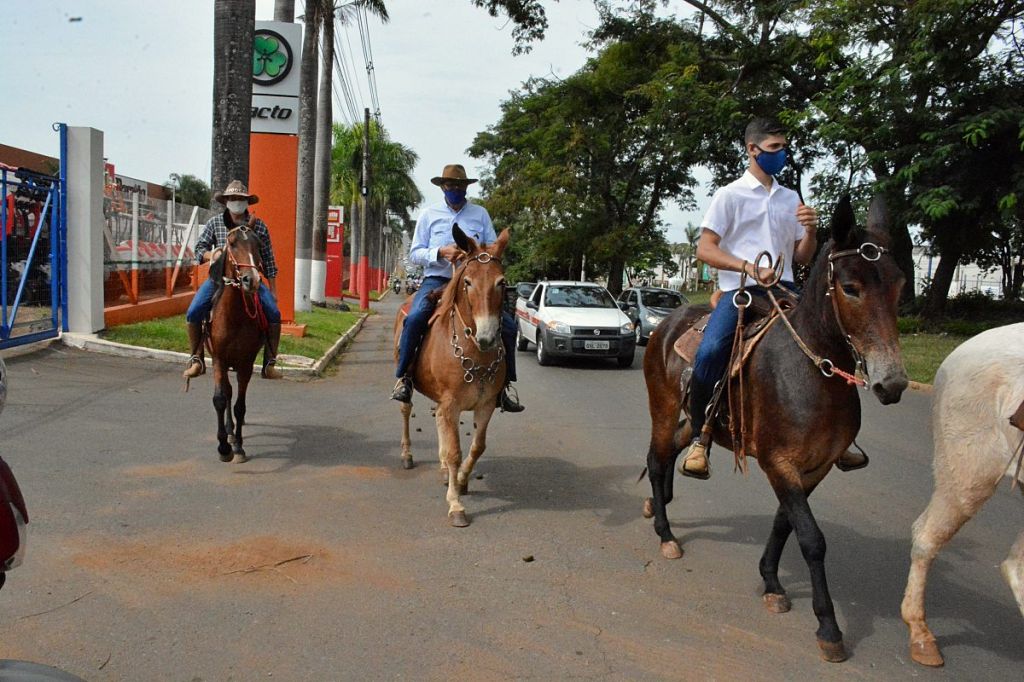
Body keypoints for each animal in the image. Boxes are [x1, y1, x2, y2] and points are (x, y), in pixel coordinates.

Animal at [204, 225, 264, 464]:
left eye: (258, 245)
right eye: (232, 244)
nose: (251, 280)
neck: (235, 316)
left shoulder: (246, 363)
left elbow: (240, 406)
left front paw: (238, 447)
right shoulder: (218, 359)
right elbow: (220, 399)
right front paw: (223, 447)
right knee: (227, 393)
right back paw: (228, 432)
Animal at [393, 223, 509, 524]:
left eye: (501, 282)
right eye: (467, 282)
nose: (487, 337)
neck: (474, 350)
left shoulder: (485, 405)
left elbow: (477, 447)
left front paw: (461, 479)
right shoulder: (451, 404)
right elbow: (455, 451)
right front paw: (456, 505)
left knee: (438, 422)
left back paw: (445, 470)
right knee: (406, 410)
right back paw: (407, 454)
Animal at [643, 195, 909, 659]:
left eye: (899, 284)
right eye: (850, 287)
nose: (891, 382)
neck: (812, 373)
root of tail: (665, 325)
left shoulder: (815, 468)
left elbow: (787, 524)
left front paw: (770, 580)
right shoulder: (777, 461)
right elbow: (812, 538)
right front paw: (828, 627)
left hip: (695, 420)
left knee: (674, 448)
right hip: (663, 406)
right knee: (657, 459)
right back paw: (665, 533)